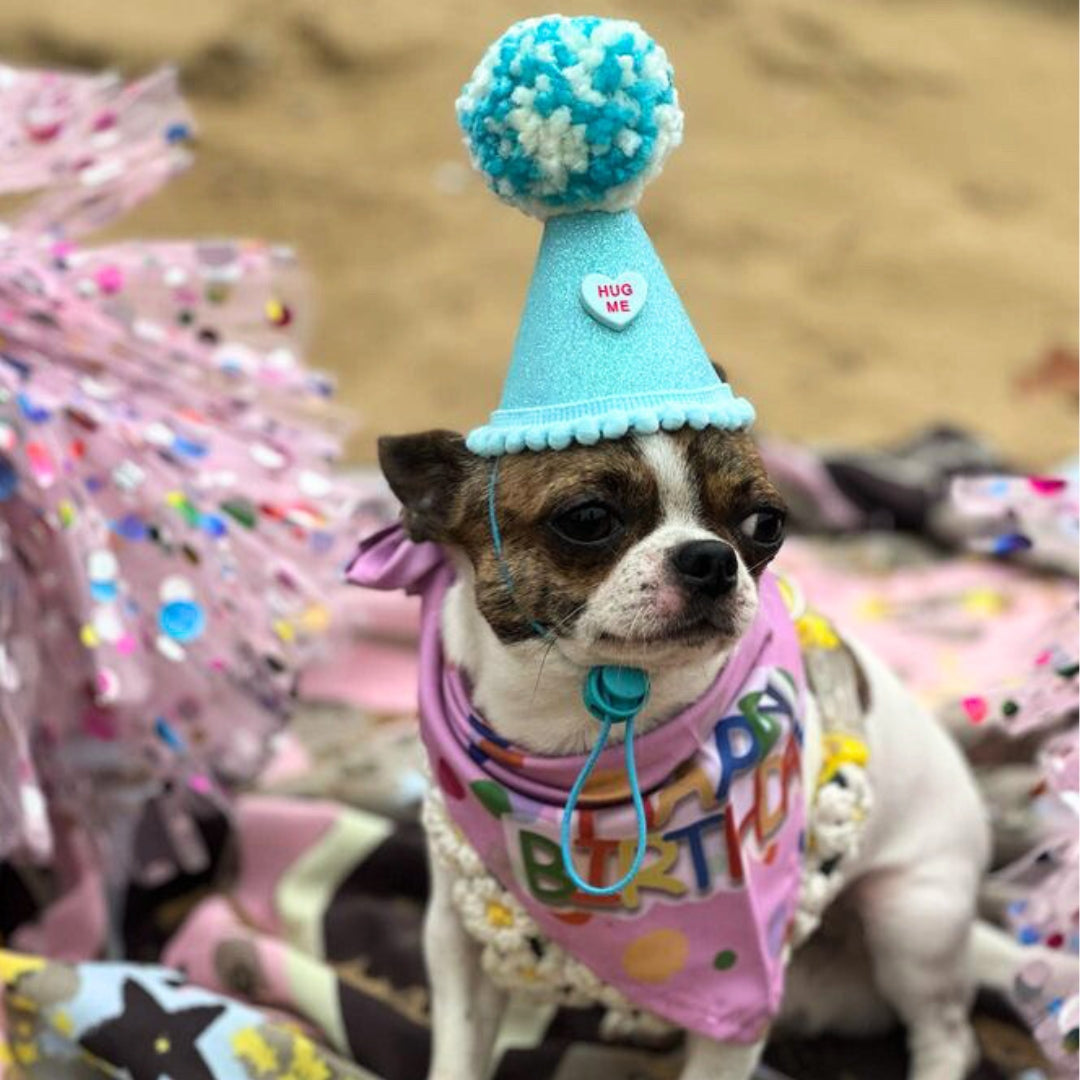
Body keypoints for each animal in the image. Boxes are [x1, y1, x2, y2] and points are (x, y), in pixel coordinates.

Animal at [380, 423, 1071, 1080]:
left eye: (767, 524)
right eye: (587, 519)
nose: (711, 558)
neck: (596, 729)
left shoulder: (739, 996)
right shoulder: (455, 944)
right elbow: (458, 1054)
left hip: (912, 920)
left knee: (948, 1033)